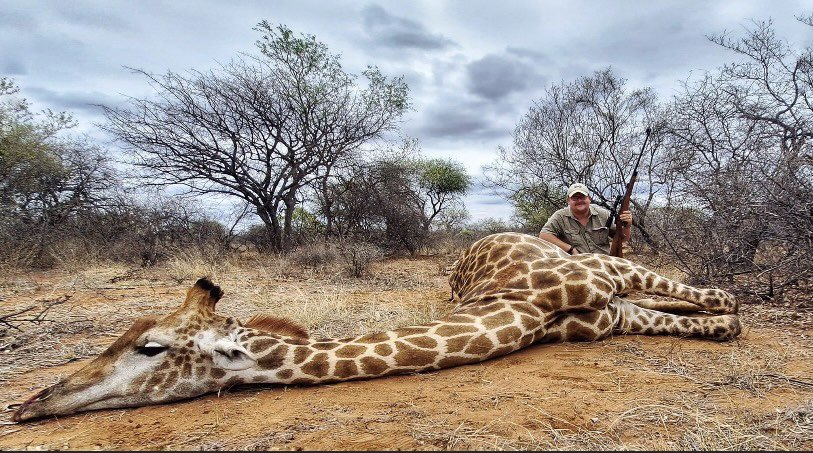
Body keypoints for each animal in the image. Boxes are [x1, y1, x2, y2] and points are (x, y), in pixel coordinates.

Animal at [12, 232, 740, 422]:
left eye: (150, 346)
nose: (26, 404)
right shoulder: (603, 315)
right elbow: (706, 321)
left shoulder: (600, 273)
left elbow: (720, 305)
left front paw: (731, 313)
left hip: (601, 261)